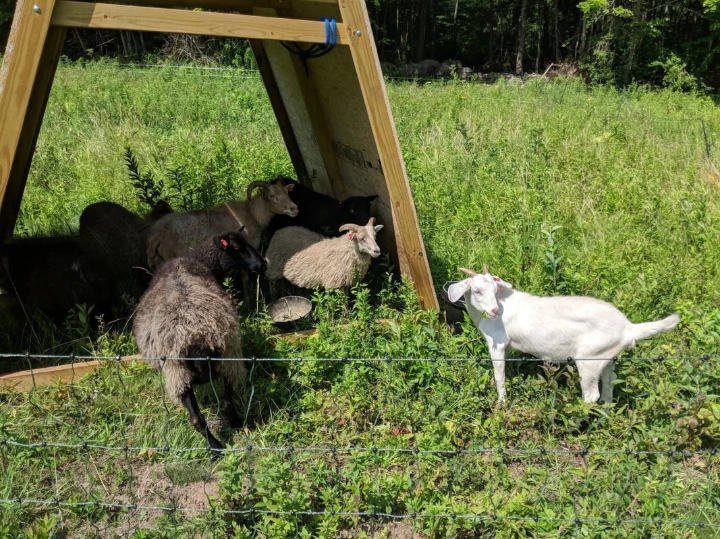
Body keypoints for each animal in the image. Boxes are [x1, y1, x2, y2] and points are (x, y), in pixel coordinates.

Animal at [133, 227, 267, 450]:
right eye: (237, 248)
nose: (262, 265)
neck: (201, 261)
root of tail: (196, 337)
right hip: (199, 368)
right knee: (210, 412)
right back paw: (224, 440)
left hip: (191, 370)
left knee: (210, 411)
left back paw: (223, 441)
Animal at [448, 265, 680, 404]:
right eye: (476, 291)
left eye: (495, 291)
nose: (494, 311)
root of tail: (628, 327)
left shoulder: (497, 343)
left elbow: (499, 376)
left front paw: (501, 403)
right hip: (605, 357)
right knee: (609, 384)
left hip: (589, 358)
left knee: (592, 394)